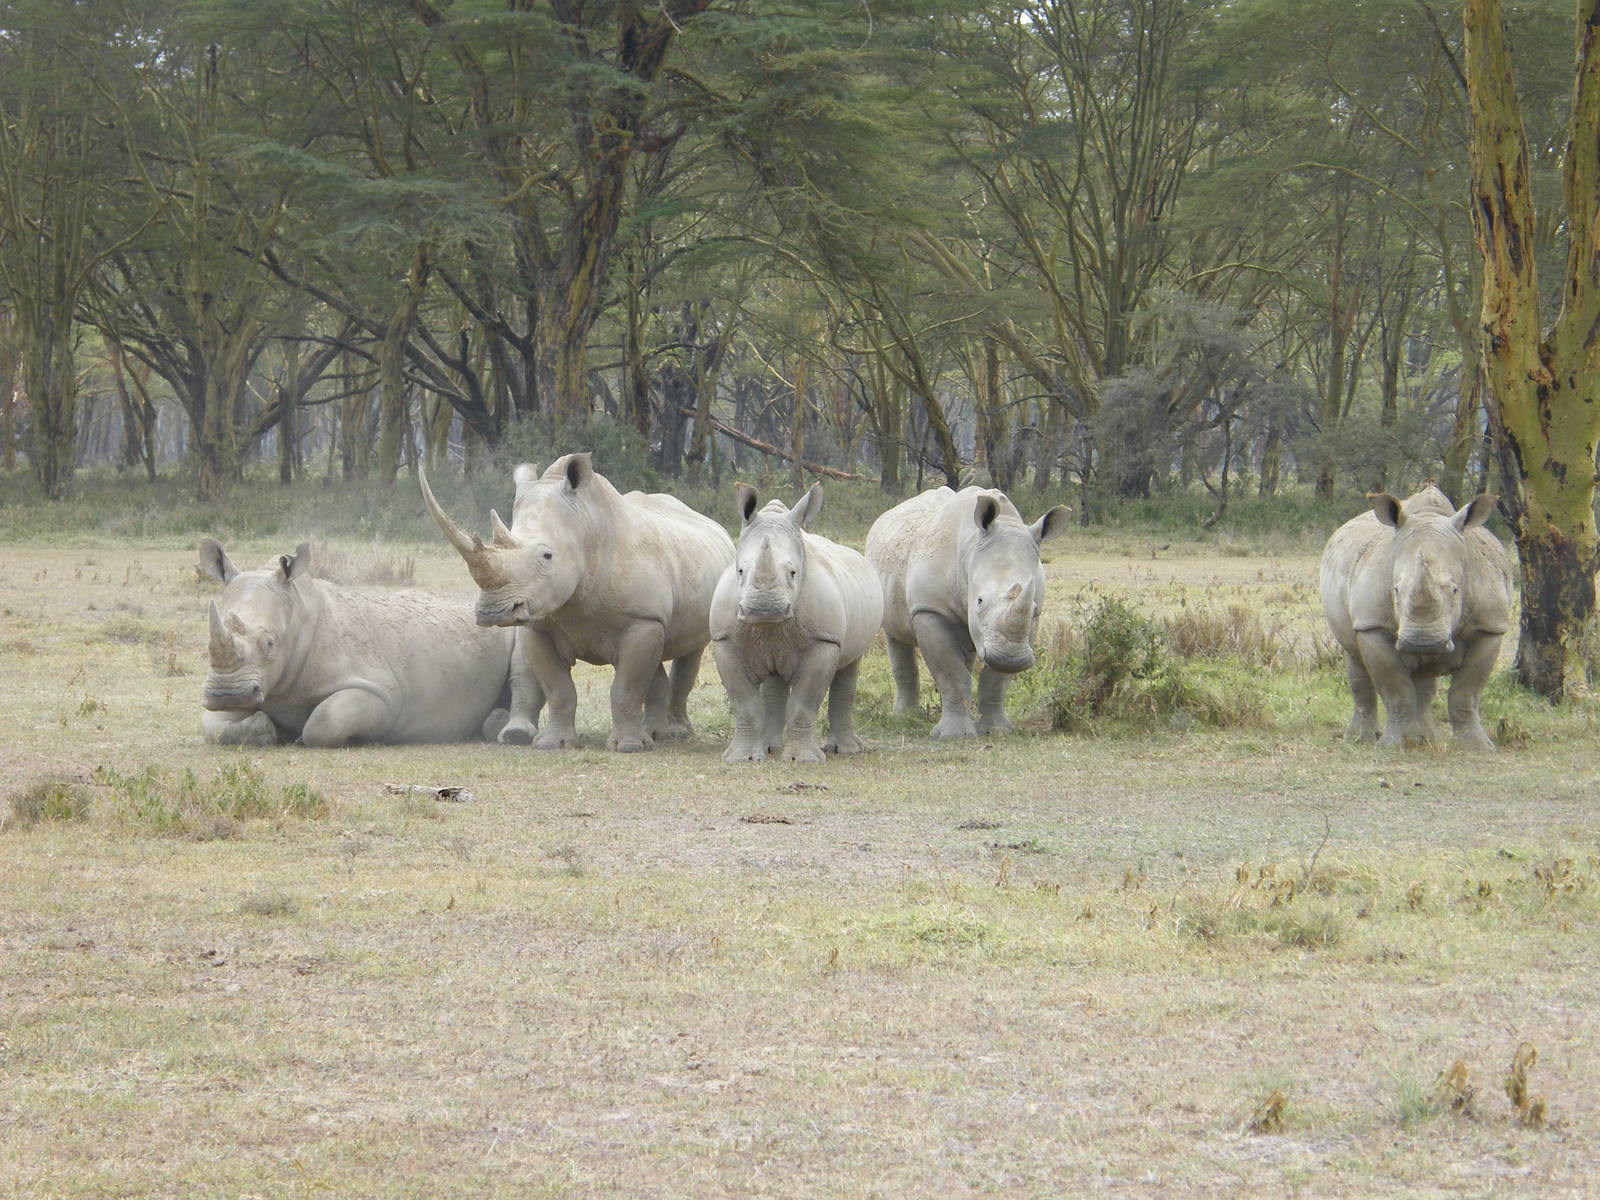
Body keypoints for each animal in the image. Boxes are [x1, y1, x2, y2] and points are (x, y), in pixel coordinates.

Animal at [198, 539, 514, 748]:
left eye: (270, 643)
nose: (225, 694)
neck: (299, 613)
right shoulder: (256, 683)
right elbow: (212, 725)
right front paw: (264, 727)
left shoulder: (379, 692)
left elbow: (324, 722)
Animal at [420, 453, 735, 752]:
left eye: (547, 556)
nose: (493, 611)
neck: (584, 528)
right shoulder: (540, 624)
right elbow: (559, 689)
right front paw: (552, 744)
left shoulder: (640, 618)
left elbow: (625, 687)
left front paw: (628, 747)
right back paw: (655, 734)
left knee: (690, 652)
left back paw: (675, 734)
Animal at [710, 483, 885, 764]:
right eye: (740, 571)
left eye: (793, 573)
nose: (765, 609)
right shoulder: (725, 640)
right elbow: (745, 705)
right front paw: (743, 759)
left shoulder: (823, 641)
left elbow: (803, 704)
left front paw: (802, 760)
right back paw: (770, 748)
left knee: (850, 666)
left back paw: (845, 749)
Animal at [866, 486, 1069, 739]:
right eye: (979, 601)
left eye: (1032, 609)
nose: (1011, 658)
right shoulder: (930, 609)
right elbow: (951, 671)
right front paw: (954, 736)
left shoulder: (1030, 622)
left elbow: (995, 679)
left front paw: (996, 731)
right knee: (895, 635)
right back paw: (904, 717)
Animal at [1319, 486, 1512, 750]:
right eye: (1395, 590)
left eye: (1455, 590)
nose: (1422, 641)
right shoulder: (1372, 625)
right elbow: (1396, 692)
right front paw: (1389, 746)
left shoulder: (1490, 626)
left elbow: (1466, 693)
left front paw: (1478, 748)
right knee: (1356, 662)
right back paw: (1361, 740)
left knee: (1424, 679)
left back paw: (1424, 739)